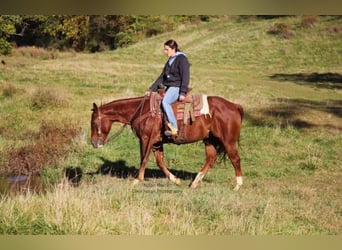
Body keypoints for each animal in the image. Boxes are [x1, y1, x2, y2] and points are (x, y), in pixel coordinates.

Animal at [90, 95, 243, 189]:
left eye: (93, 122)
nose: (93, 143)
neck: (143, 111)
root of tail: (234, 106)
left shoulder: (146, 139)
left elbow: (144, 159)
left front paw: (137, 180)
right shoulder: (157, 143)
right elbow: (160, 162)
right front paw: (176, 180)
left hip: (228, 140)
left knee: (235, 159)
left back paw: (237, 186)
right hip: (209, 140)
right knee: (211, 158)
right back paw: (194, 183)